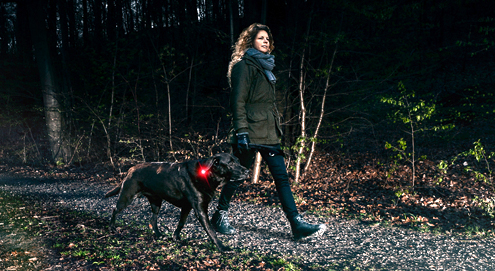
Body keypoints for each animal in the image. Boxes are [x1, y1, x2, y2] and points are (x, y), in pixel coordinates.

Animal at [106, 153, 250, 253]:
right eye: (231, 163)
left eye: (238, 161)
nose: (248, 171)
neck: (208, 175)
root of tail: (131, 169)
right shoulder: (200, 210)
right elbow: (211, 231)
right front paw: (222, 248)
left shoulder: (187, 207)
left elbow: (181, 223)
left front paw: (175, 237)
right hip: (127, 197)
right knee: (114, 210)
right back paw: (112, 227)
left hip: (156, 202)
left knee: (153, 220)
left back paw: (159, 235)